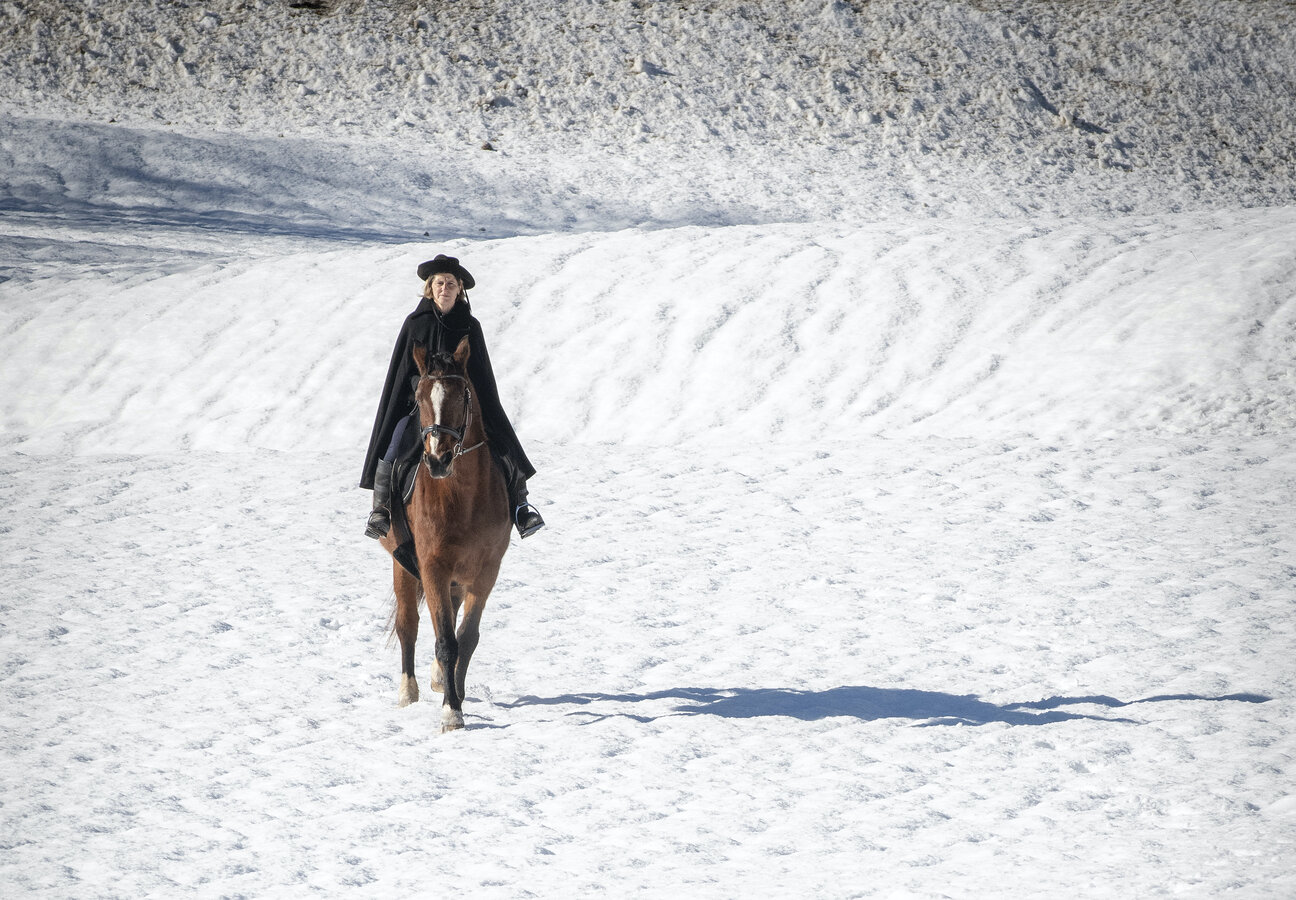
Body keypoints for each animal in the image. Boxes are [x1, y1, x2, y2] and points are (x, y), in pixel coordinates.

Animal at [379, 335, 512, 732]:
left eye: (462, 394)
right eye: (419, 396)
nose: (438, 459)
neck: (463, 499)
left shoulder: (486, 572)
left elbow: (465, 638)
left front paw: (457, 695)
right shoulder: (432, 567)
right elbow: (444, 640)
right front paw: (452, 712)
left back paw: (441, 677)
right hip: (402, 564)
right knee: (408, 624)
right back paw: (408, 691)